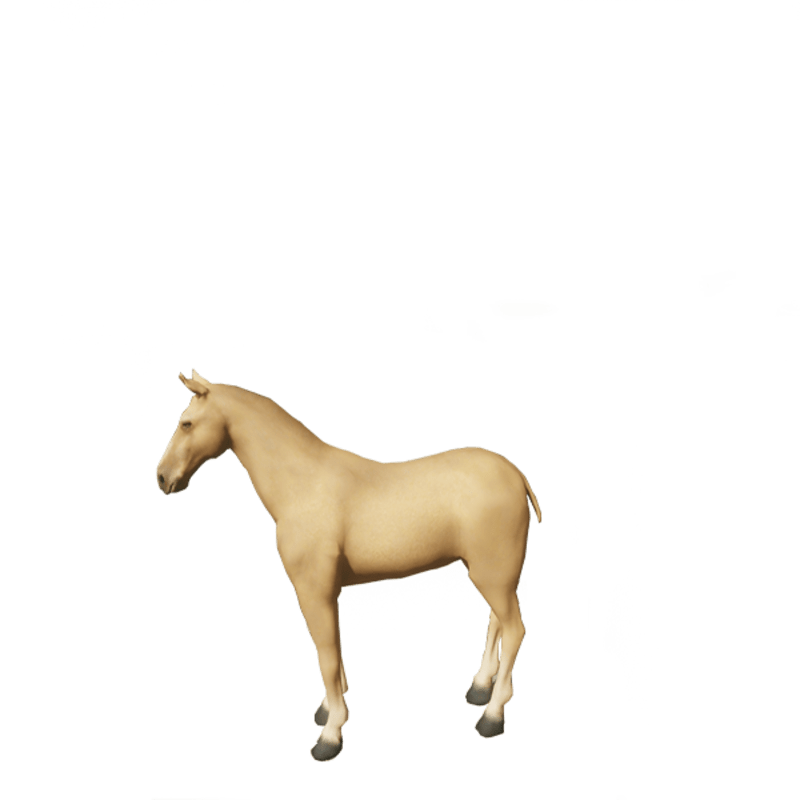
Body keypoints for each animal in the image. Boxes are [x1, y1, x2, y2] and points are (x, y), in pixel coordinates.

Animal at [155, 369, 542, 762]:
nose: (162, 477)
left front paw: (330, 734)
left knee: (514, 631)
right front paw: (328, 710)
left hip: (491, 574)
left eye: (186, 423)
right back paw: (479, 687)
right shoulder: (322, 593)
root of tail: (515, 473)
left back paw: (492, 715)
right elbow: (332, 653)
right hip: (491, 572)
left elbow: (326, 657)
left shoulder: (315, 591)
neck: (303, 485)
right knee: (497, 622)